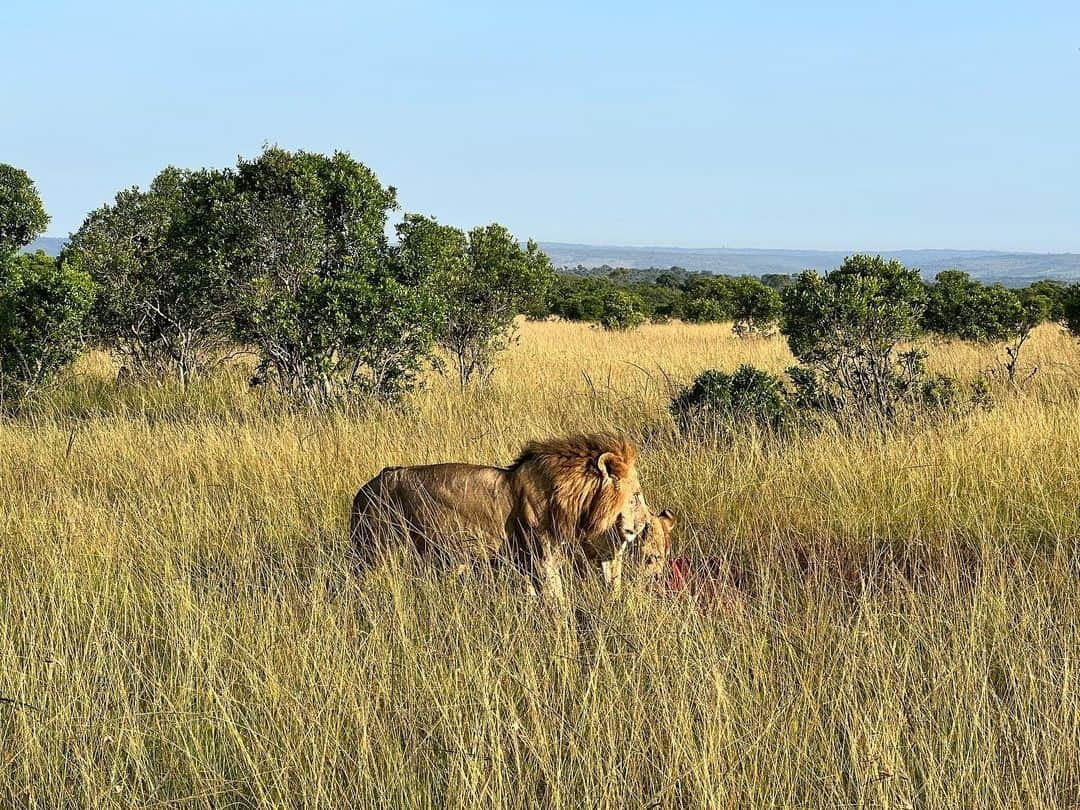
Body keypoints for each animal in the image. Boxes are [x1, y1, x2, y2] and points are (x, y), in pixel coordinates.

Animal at [349, 438, 643, 604]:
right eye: (637, 496)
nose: (642, 527)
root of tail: (362, 493)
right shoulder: (542, 561)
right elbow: (557, 603)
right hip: (374, 551)